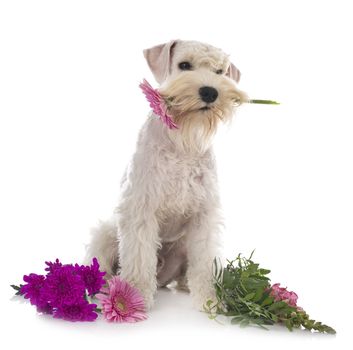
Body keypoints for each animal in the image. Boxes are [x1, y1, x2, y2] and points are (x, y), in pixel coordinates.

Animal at [85, 39, 246, 310]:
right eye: (184, 65)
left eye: (220, 71)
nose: (210, 92)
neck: (182, 141)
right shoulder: (140, 207)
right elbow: (139, 258)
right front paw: (136, 296)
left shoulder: (204, 216)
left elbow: (204, 264)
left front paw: (210, 301)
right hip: (106, 233)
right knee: (104, 264)